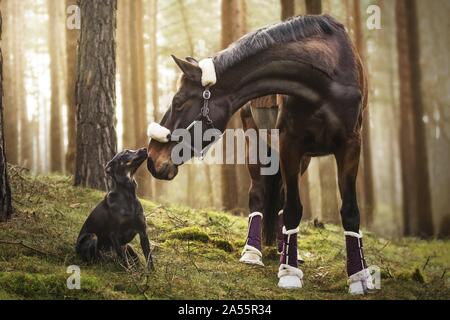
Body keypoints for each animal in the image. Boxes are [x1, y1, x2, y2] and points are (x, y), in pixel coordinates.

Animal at [147, 15, 372, 296]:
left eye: (178, 102)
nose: (151, 158)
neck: (326, 80)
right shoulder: (289, 144)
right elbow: (293, 208)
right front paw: (289, 274)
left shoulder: (350, 145)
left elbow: (349, 210)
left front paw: (359, 276)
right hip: (255, 145)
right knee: (258, 194)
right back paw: (253, 252)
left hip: (304, 158)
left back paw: (286, 250)